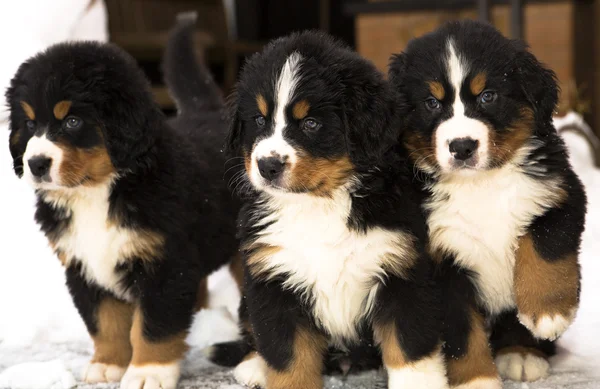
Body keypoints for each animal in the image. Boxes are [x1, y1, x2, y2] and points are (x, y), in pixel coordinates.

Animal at [5, 15, 239, 388]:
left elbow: (154, 325)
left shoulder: (164, 264)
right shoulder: (83, 265)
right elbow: (106, 321)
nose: (36, 164)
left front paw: (148, 372)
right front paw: (108, 365)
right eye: (28, 123)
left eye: (72, 121)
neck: (97, 191)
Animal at [209, 31, 448, 388]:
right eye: (259, 120)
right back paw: (253, 365)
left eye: (310, 123)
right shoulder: (274, 282)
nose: (267, 165)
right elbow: (287, 359)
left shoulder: (401, 272)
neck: (320, 204)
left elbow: (409, 350)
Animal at [390, 20, 584, 388]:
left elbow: (546, 246)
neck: (480, 185)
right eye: (431, 103)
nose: (462, 146)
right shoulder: (441, 265)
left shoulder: (561, 193)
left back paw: (522, 354)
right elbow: (462, 333)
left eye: (488, 96)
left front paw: (548, 311)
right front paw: (476, 379)